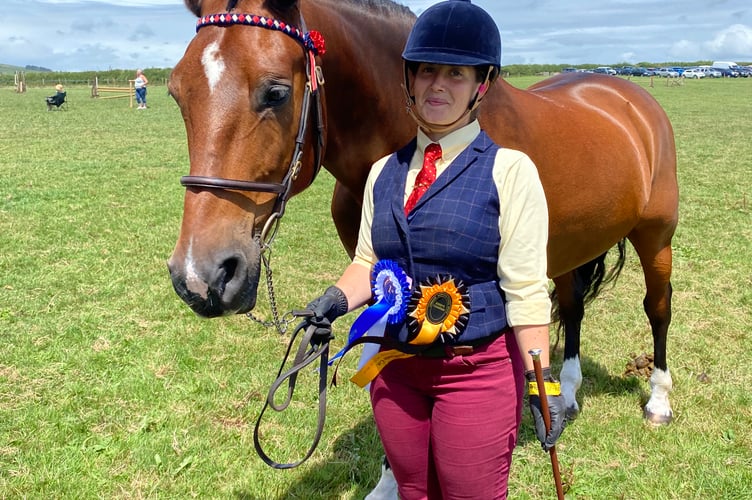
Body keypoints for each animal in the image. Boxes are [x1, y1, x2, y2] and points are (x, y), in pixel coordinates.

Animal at [167, 0, 680, 438]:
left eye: (276, 92)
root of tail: (628, 95)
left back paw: (657, 401)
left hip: (655, 238)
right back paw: (567, 394)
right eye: (176, 94)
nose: (199, 277)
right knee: (572, 308)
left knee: (658, 307)